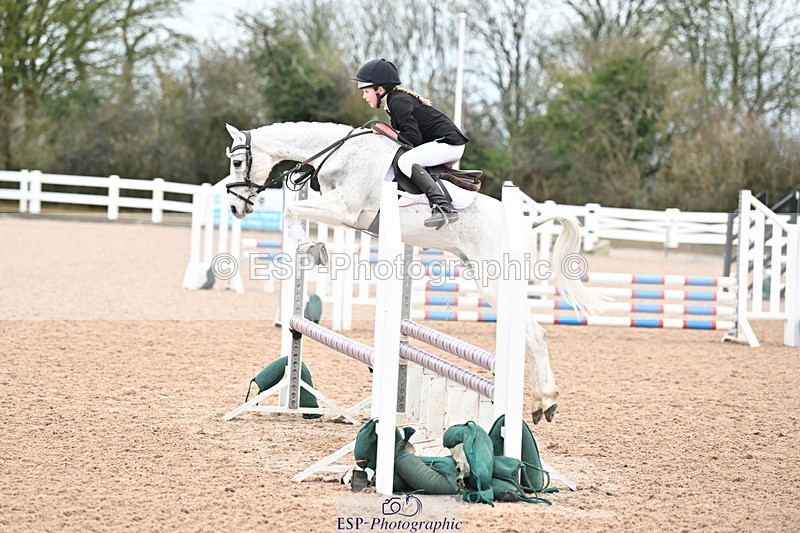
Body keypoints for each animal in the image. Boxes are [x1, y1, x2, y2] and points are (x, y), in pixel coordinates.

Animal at [224, 121, 604, 424]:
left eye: (238, 162)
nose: (233, 206)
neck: (341, 153)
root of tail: (527, 222)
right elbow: (295, 214)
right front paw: (311, 249)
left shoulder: (343, 210)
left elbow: (291, 213)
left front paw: (311, 249)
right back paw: (542, 403)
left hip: (495, 281)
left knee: (534, 333)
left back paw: (545, 403)